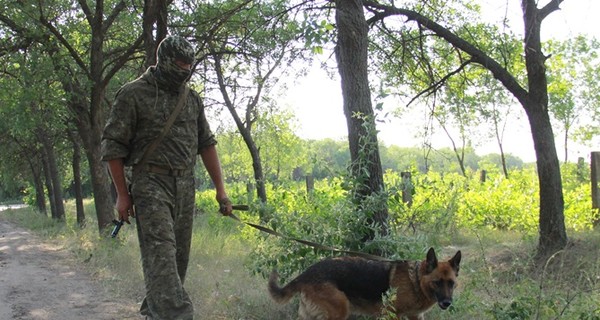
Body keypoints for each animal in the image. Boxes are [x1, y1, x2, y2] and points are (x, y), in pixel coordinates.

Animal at [270, 248, 462, 320]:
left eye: (451, 283)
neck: (415, 280)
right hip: (340, 311)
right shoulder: (393, 314)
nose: (447, 303)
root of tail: (306, 273)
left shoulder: (415, 316)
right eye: (437, 283)